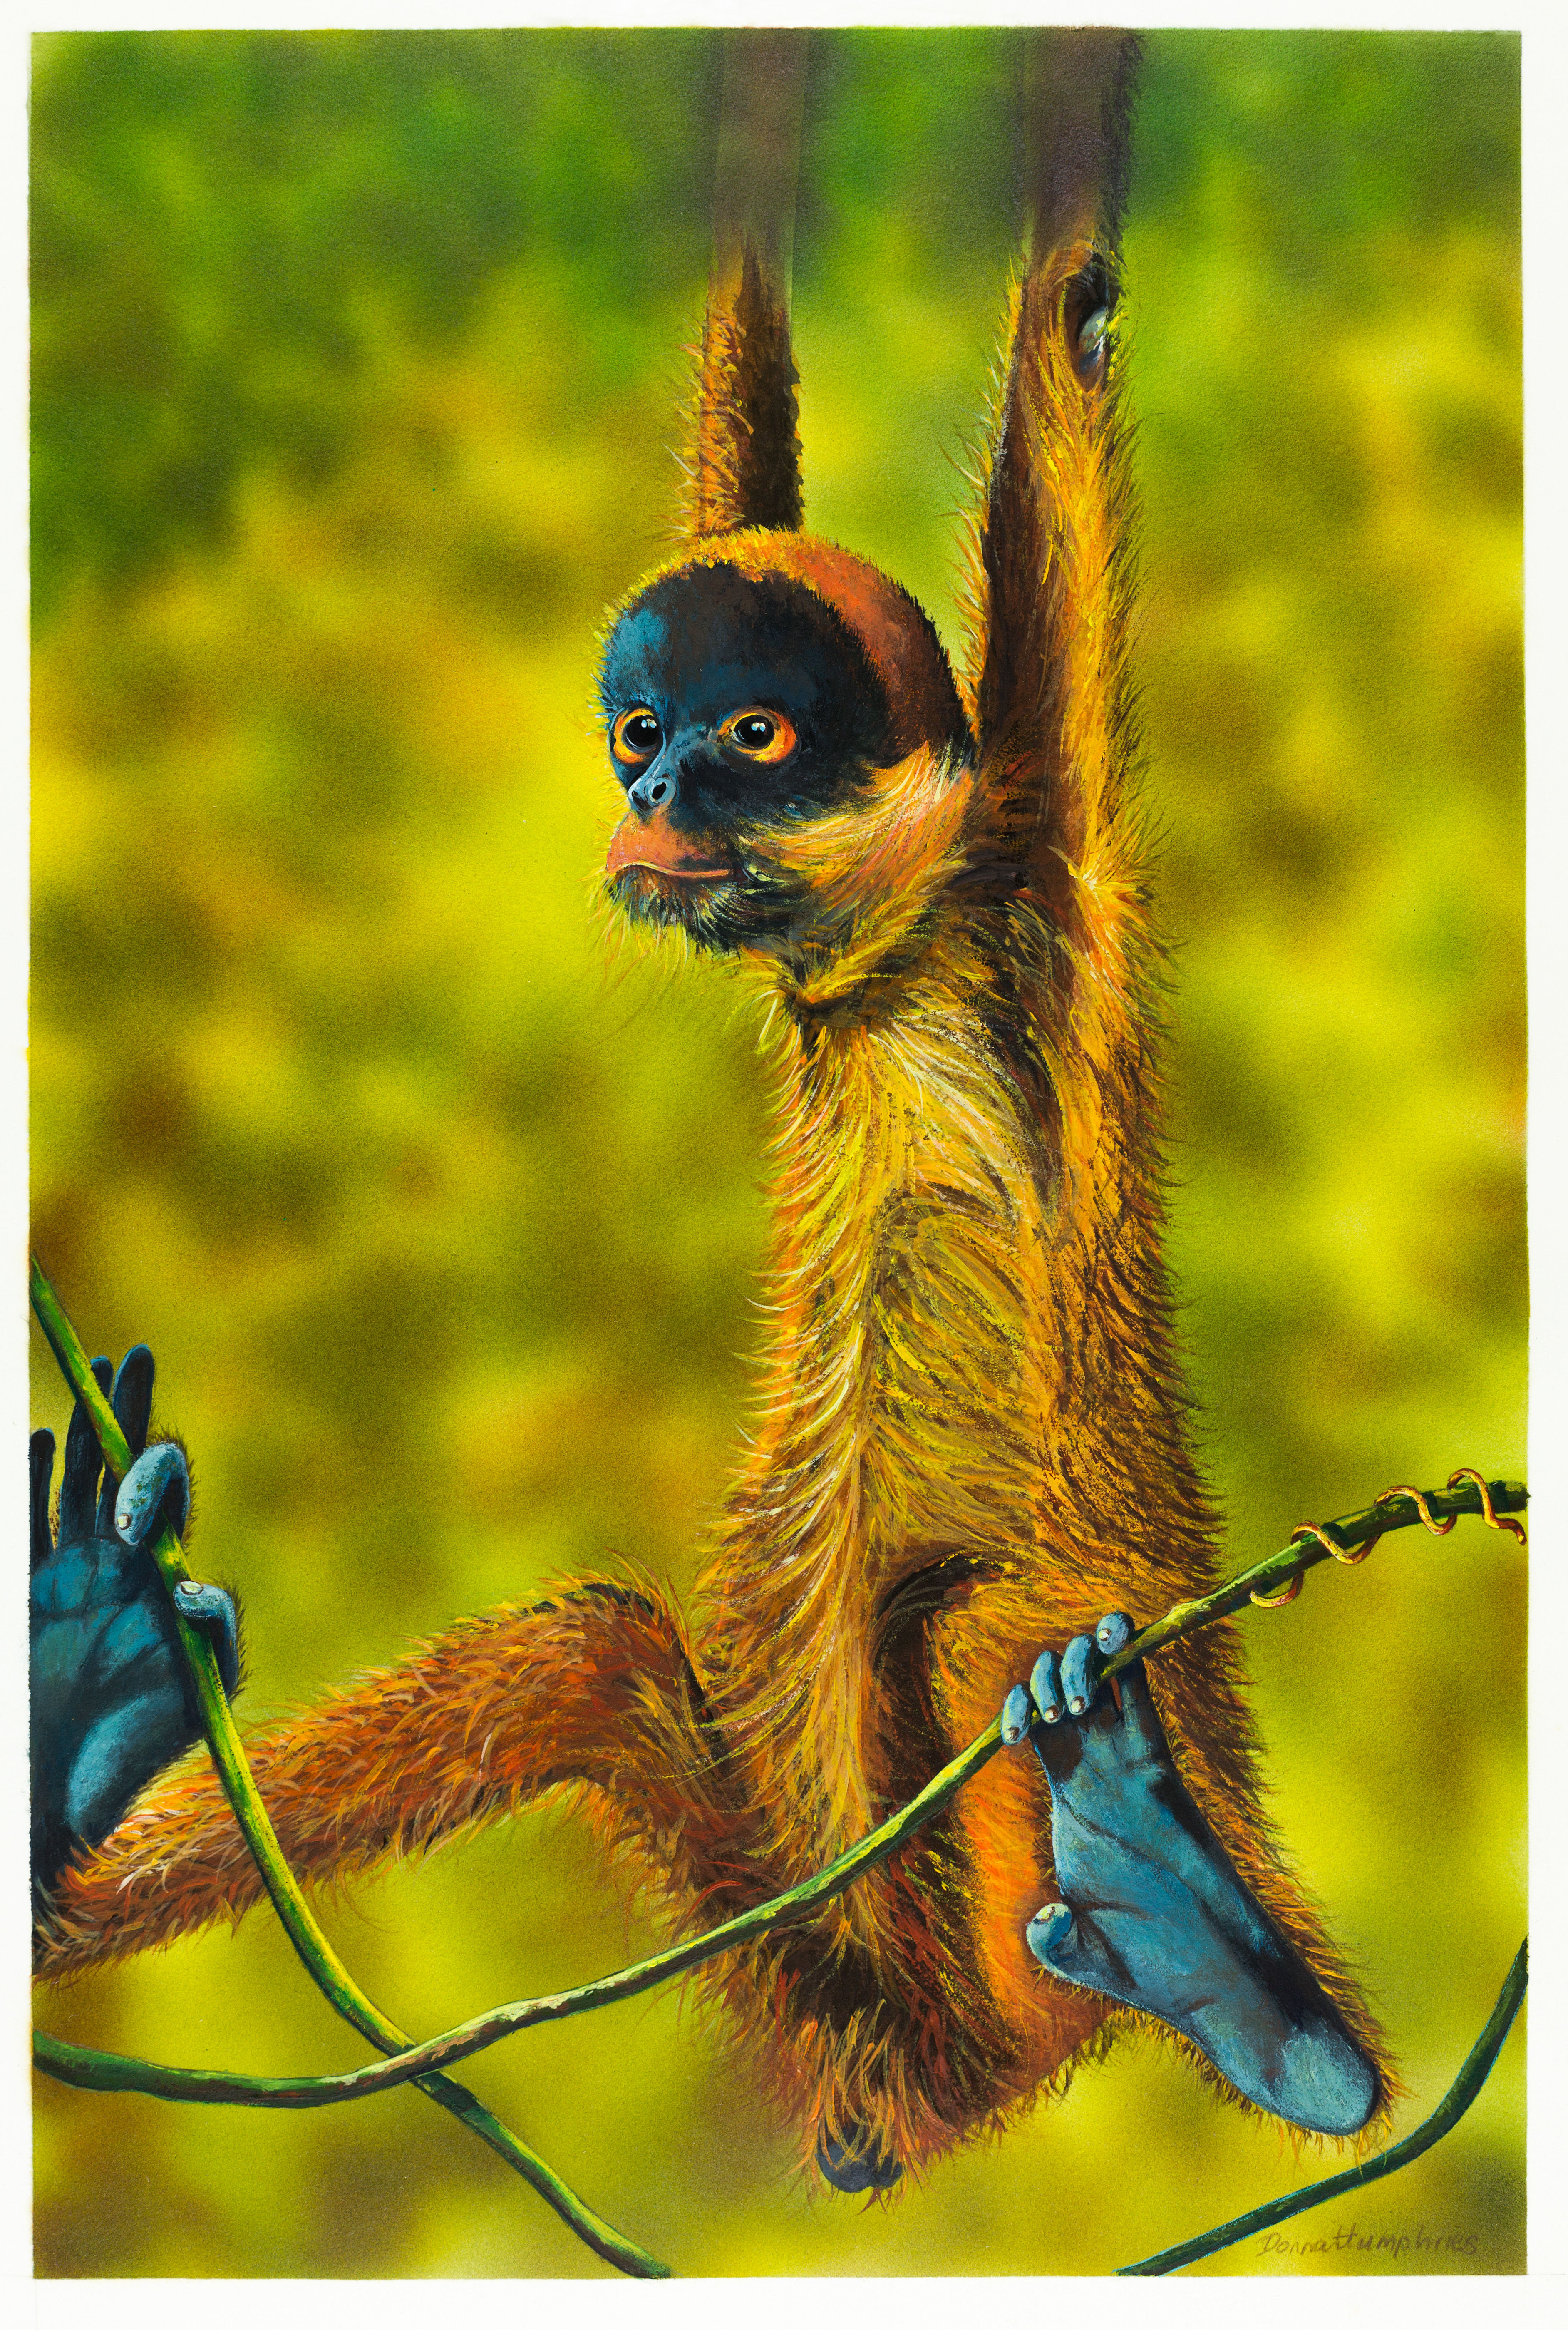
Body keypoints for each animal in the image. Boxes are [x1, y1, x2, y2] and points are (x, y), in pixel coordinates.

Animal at [32, 31, 1392, 2196]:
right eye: (641, 732)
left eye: (747, 734)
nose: (657, 795)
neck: (894, 967)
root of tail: (909, 2095)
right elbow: (758, 401)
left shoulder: (1049, 884)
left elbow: (1065, 382)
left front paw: (1069, 233)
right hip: (818, 1948)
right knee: (589, 1659)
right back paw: (81, 1746)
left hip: (1053, 1757)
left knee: (963, 1628)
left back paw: (1221, 1967)